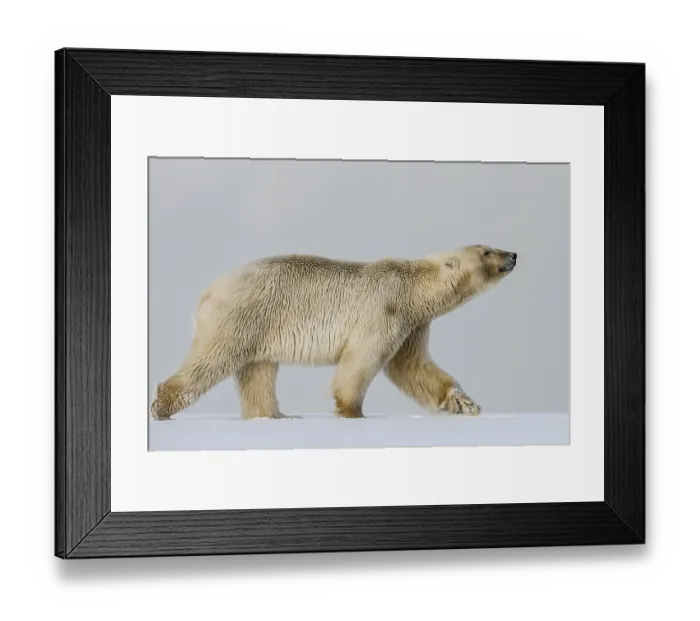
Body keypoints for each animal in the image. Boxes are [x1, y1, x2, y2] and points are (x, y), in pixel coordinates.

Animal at [150, 244, 517, 421]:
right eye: (486, 250)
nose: (513, 254)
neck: (412, 288)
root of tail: (208, 291)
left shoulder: (412, 324)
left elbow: (412, 367)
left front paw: (465, 403)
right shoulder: (383, 309)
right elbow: (361, 361)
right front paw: (352, 411)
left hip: (259, 326)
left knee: (257, 371)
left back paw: (277, 416)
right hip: (244, 314)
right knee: (213, 357)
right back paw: (162, 405)